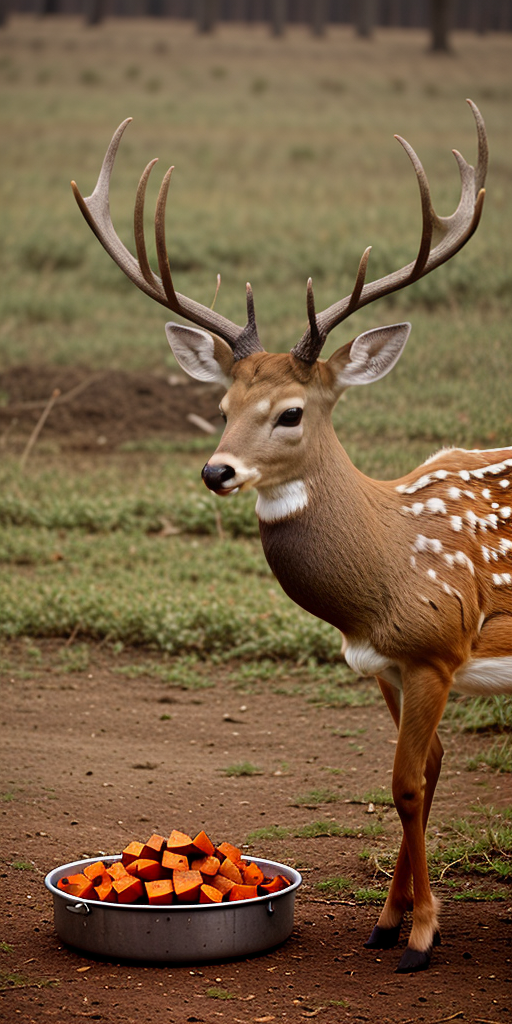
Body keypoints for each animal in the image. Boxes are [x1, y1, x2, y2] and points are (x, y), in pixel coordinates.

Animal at [71, 100, 512, 973]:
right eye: (222, 403)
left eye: (291, 412)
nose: (217, 470)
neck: (386, 569)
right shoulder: (384, 664)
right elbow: (424, 776)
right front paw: (387, 921)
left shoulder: (439, 647)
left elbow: (407, 784)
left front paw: (420, 936)